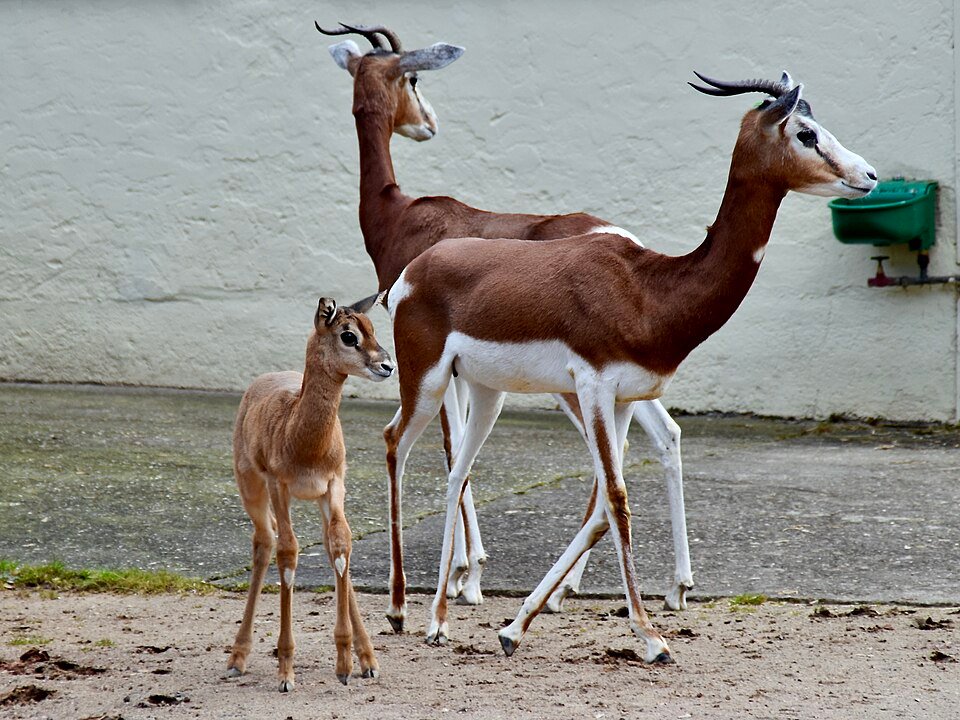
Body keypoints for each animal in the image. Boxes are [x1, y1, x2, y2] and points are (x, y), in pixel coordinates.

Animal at [226, 295, 394, 690]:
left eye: (372, 327)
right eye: (348, 335)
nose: (387, 365)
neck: (303, 438)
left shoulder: (334, 485)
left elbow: (341, 546)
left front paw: (350, 662)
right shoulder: (279, 485)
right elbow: (288, 553)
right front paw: (286, 671)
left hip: (317, 500)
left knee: (327, 544)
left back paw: (365, 658)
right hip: (251, 487)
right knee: (265, 542)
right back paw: (237, 658)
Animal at [317, 21, 693, 624]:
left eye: (414, 77)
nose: (428, 123)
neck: (397, 214)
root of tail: (626, 242)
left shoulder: (435, 362)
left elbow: (453, 449)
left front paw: (465, 576)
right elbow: (461, 450)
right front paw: (466, 574)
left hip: (572, 384)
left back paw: (566, 592)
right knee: (665, 436)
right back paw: (672, 587)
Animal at [384, 73, 877, 661]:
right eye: (805, 132)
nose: (869, 176)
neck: (649, 290)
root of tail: (412, 271)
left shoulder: (620, 400)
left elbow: (601, 504)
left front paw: (514, 628)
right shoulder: (595, 388)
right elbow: (617, 500)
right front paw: (651, 636)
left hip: (486, 392)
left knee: (458, 470)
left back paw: (438, 620)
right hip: (427, 381)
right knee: (394, 444)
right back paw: (397, 611)